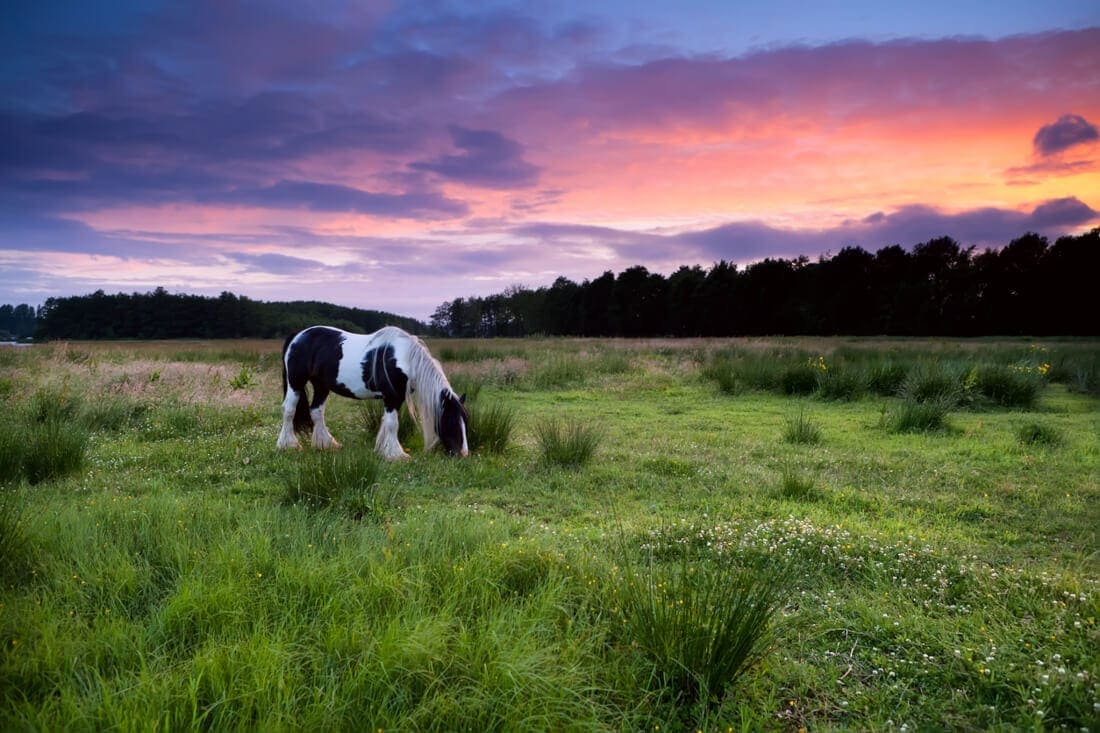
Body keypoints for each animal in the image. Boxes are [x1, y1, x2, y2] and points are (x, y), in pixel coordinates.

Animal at [277, 325, 469, 459]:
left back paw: (327, 444)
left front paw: (384, 449)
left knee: (316, 411)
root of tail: (298, 336)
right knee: (289, 410)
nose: (463, 453)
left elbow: (387, 422)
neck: (403, 358)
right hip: (296, 382)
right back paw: (288, 445)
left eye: (466, 421)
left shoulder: (396, 398)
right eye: (451, 421)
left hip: (321, 385)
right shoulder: (392, 397)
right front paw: (397, 455)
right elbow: (393, 424)